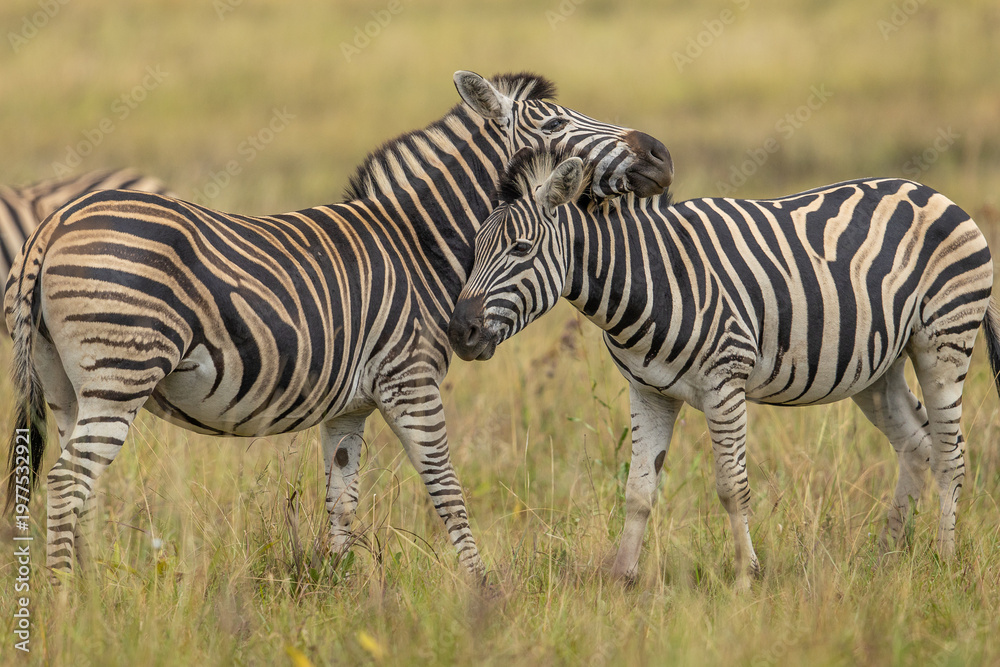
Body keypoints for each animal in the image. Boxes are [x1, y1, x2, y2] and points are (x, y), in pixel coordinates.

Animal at [3, 72, 673, 581]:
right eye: (556, 125)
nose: (662, 155)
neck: (419, 244)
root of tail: (52, 226)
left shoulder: (347, 408)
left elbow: (341, 501)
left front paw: (338, 588)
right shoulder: (410, 381)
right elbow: (446, 490)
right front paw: (484, 591)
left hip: (65, 388)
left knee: (74, 488)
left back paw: (90, 594)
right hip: (120, 375)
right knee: (66, 485)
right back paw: (67, 602)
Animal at [449, 147, 1000, 591]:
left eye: (521, 249)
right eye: (472, 249)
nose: (459, 333)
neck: (651, 276)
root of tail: (935, 194)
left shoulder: (724, 382)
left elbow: (732, 487)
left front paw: (744, 578)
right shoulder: (647, 391)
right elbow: (638, 490)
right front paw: (622, 579)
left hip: (943, 341)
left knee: (951, 454)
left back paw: (944, 560)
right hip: (875, 366)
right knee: (916, 445)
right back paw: (886, 558)